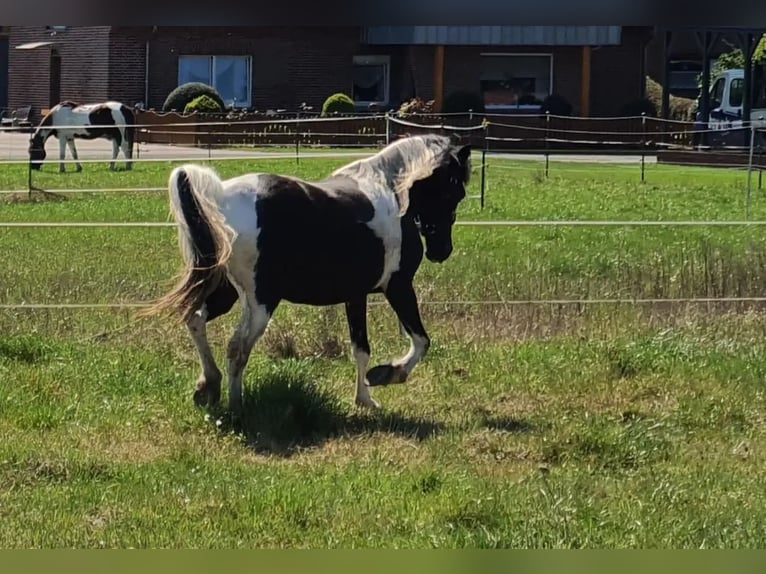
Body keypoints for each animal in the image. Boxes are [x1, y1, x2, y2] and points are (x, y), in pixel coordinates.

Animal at [139, 133, 472, 412]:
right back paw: (236, 405)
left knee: (196, 320)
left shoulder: (356, 295)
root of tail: (220, 198)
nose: (442, 250)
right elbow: (421, 341)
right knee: (237, 347)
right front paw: (388, 374)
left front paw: (364, 399)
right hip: (260, 302)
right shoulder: (398, 286)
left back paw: (208, 386)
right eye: (453, 191)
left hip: (226, 292)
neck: (393, 193)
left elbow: (361, 349)